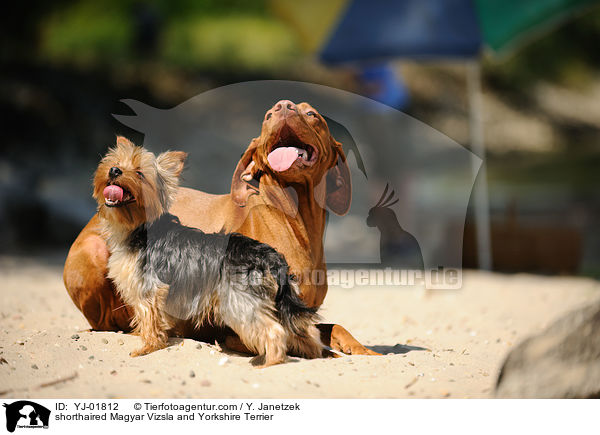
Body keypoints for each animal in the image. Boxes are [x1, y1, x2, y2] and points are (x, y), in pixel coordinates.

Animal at [64, 100, 380, 356]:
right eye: (268, 116)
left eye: (312, 114)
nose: (283, 106)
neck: (296, 223)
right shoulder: (237, 323)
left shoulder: (296, 309)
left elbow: (333, 327)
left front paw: (362, 350)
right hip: (95, 254)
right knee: (108, 323)